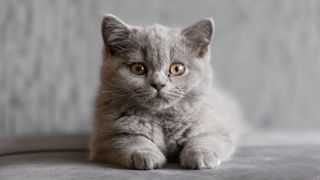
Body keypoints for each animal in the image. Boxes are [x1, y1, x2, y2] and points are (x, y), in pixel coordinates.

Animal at [90, 14, 242, 170]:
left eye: (177, 68)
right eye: (138, 68)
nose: (158, 83)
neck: (161, 117)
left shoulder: (217, 127)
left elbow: (205, 138)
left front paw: (201, 155)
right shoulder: (105, 138)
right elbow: (131, 140)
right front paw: (146, 155)